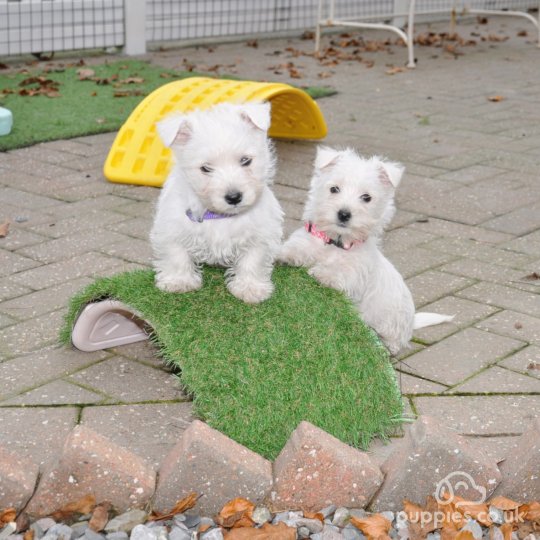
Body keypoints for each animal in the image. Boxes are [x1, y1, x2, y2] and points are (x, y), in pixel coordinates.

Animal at [278, 146, 452, 354]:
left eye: (367, 197)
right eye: (334, 189)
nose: (344, 214)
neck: (336, 242)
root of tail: (413, 322)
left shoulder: (357, 273)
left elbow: (341, 273)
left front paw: (323, 274)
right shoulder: (309, 239)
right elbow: (298, 247)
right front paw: (287, 254)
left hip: (392, 323)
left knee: (394, 341)